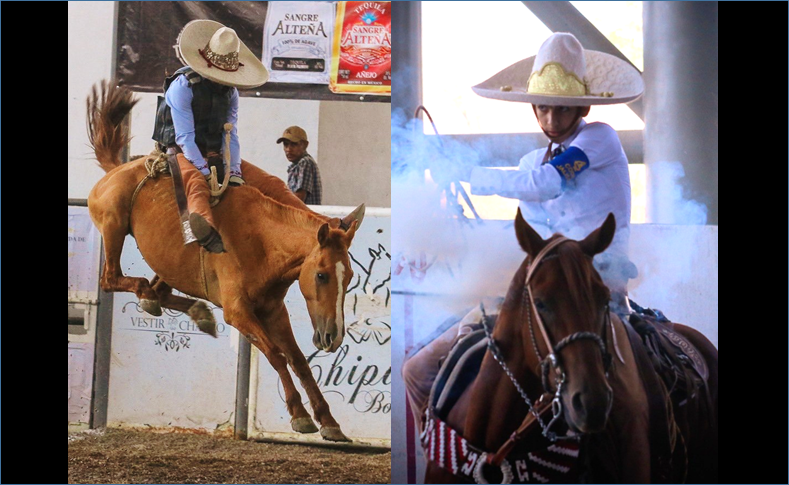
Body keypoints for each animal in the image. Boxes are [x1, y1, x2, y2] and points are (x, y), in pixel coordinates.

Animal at [87, 81, 364, 440]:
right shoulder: (238, 311)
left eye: (351, 277)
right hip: (113, 224)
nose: (333, 337)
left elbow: (299, 359)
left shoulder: (273, 310)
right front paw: (300, 416)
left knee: (160, 289)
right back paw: (151, 297)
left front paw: (329, 422)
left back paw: (194, 311)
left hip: (169, 261)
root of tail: (118, 169)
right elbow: (276, 355)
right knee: (112, 278)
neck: (261, 240)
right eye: (321, 275)